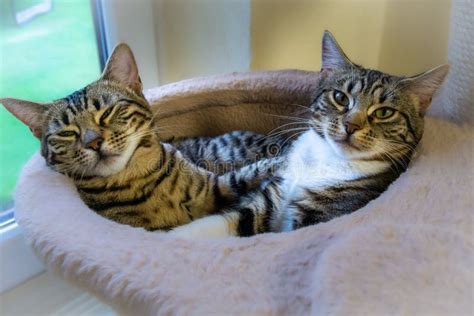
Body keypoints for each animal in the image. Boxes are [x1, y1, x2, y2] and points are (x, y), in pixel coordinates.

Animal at [0, 43, 280, 231]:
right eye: (67, 132)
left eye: (107, 112)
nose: (93, 142)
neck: (136, 178)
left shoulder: (218, 188)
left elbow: (249, 173)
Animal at [172, 31, 450, 237]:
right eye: (340, 97)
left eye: (384, 112)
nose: (351, 125)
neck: (324, 159)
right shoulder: (271, 193)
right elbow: (220, 223)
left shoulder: (321, 216)